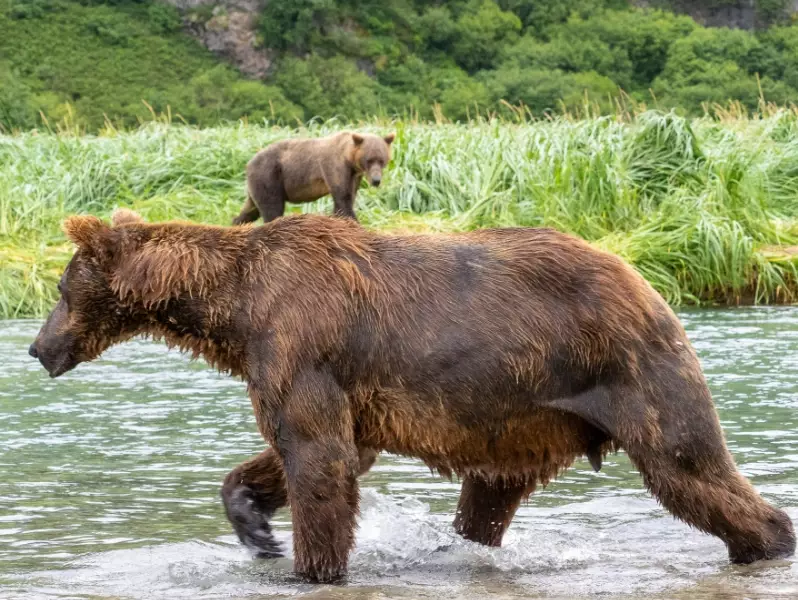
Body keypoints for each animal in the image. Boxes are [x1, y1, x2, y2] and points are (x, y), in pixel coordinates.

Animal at [30, 209, 795, 583]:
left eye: (61, 289)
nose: (38, 347)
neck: (235, 308)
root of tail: (645, 278)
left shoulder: (298, 340)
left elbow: (319, 459)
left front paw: (310, 567)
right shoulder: (300, 370)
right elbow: (312, 452)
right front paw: (255, 527)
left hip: (628, 369)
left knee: (689, 465)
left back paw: (766, 541)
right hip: (519, 417)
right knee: (486, 503)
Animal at [232, 131, 395, 225]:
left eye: (382, 160)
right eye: (369, 160)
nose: (376, 180)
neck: (348, 158)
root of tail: (248, 163)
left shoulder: (354, 176)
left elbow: (346, 199)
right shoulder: (335, 167)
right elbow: (343, 198)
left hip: (257, 183)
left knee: (250, 210)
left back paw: (236, 223)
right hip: (269, 175)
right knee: (272, 207)